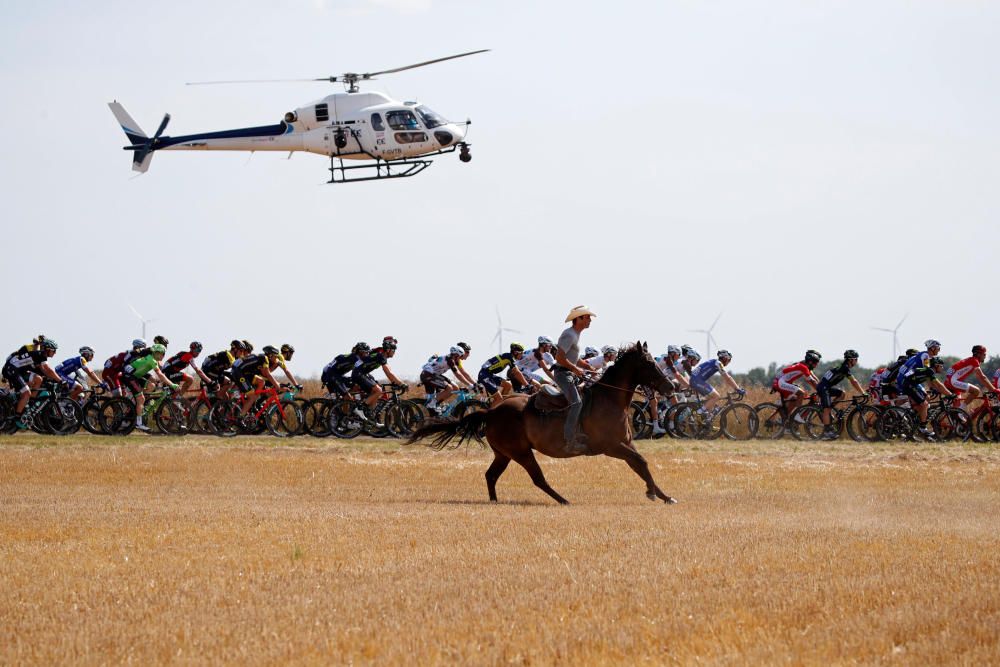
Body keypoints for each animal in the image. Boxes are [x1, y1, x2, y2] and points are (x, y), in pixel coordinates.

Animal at [406, 342, 680, 504]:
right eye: (649, 363)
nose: (671, 386)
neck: (610, 399)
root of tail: (491, 411)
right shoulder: (611, 446)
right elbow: (641, 463)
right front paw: (654, 494)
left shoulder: (624, 444)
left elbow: (640, 466)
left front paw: (663, 495)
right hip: (521, 452)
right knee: (537, 478)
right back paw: (563, 500)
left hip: (504, 454)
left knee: (491, 475)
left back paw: (495, 501)